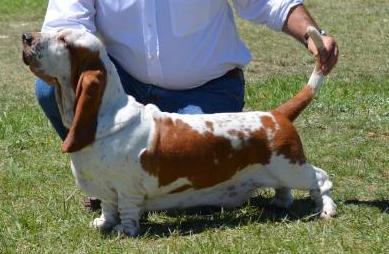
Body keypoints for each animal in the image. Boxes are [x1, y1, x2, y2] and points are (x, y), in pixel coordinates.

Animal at [22, 27, 334, 236]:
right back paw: (280, 201)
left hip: (292, 167)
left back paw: (327, 210)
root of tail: (277, 114)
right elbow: (108, 208)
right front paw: (103, 223)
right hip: (281, 170)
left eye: (64, 40)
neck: (106, 118)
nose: (26, 37)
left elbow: (126, 210)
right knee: (287, 189)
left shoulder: (127, 189)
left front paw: (125, 231)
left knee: (321, 179)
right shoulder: (107, 189)